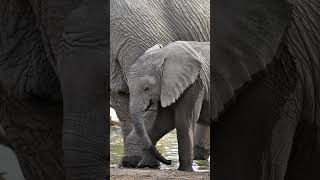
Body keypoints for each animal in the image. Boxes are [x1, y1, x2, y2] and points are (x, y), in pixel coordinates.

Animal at [127, 41, 210, 172]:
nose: (169, 161)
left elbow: (183, 121)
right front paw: (146, 165)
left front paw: (185, 170)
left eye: (147, 88)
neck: (163, 54)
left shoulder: (194, 84)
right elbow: (164, 122)